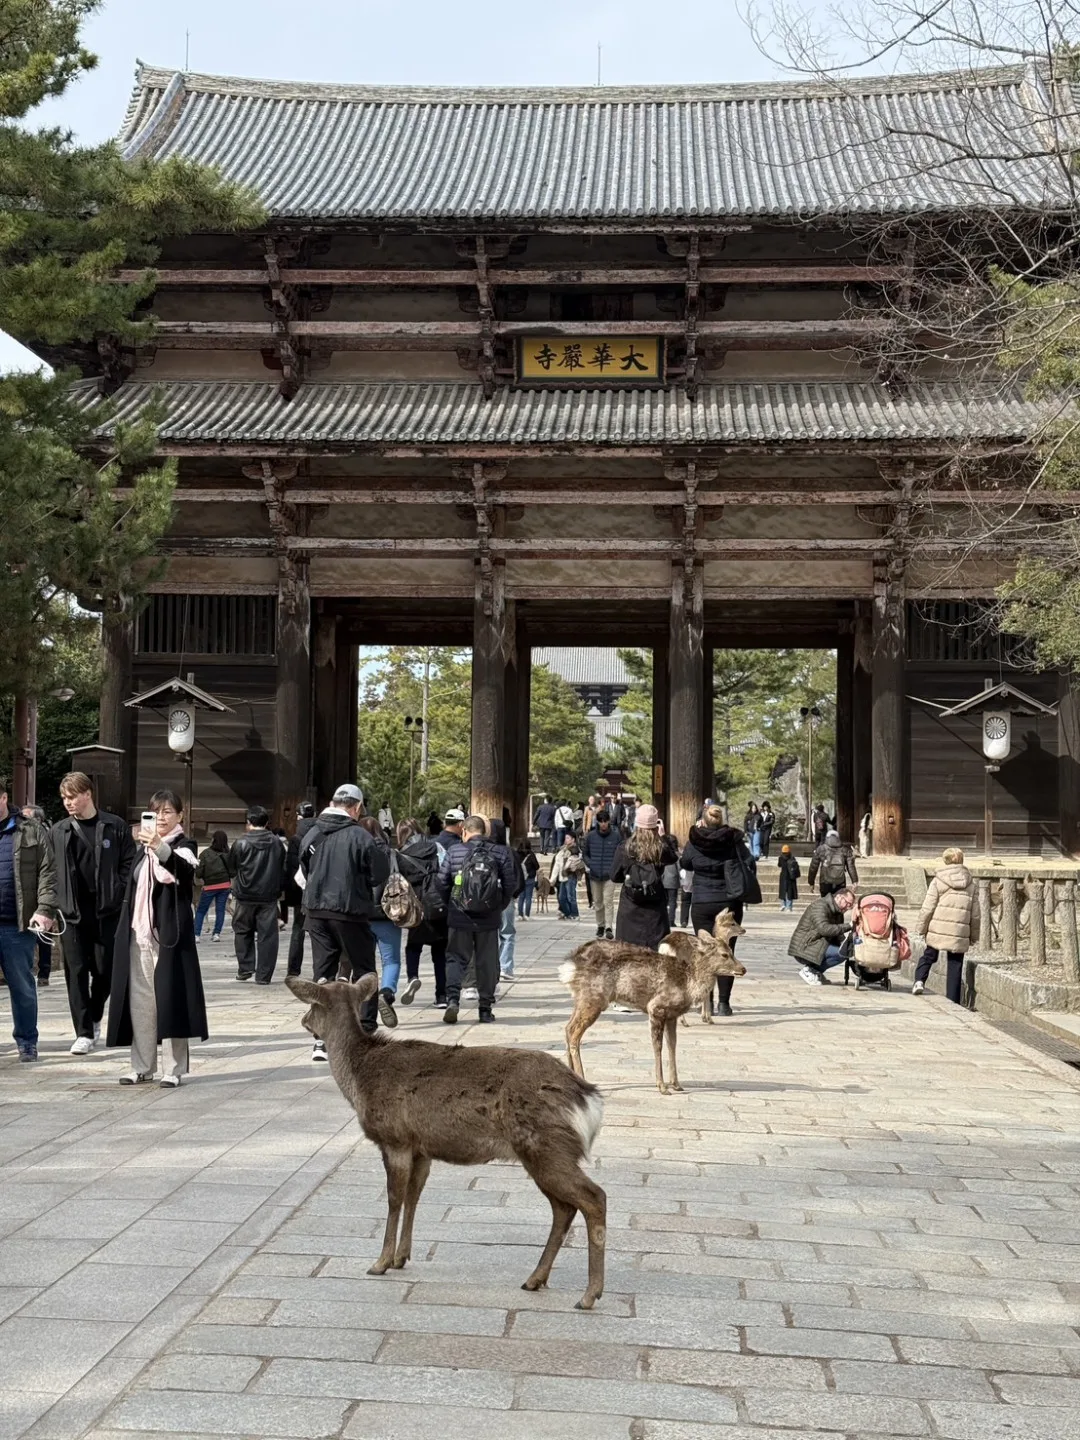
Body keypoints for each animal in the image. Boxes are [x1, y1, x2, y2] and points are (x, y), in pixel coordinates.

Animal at [286, 974, 607, 1309]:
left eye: (313, 1003)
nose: (304, 1020)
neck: (359, 1080)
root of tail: (589, 1099)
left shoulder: (395, 1138)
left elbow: (394, 1198)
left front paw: (380, 1262)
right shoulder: (421, 1148)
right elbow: (414, 1196)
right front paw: (401, 1257)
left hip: (546, 1145)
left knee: (593, 1197)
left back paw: (589, 1295)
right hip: (544, 1152)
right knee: (564, 1208)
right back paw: (535, 1279)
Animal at [559, 915, 747, 1095]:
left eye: (731, 951)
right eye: (724, 954)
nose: (743, 969)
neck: (688, 985)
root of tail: (570, 965)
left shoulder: (672, 1015)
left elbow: (672, 1045)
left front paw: (676, 1084)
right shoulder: (656, 1007)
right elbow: (657, 1046)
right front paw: (662, 1087)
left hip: (581, 999)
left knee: (568, 1028)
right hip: (594, 998)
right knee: (574, 1033)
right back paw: (582, 1079)